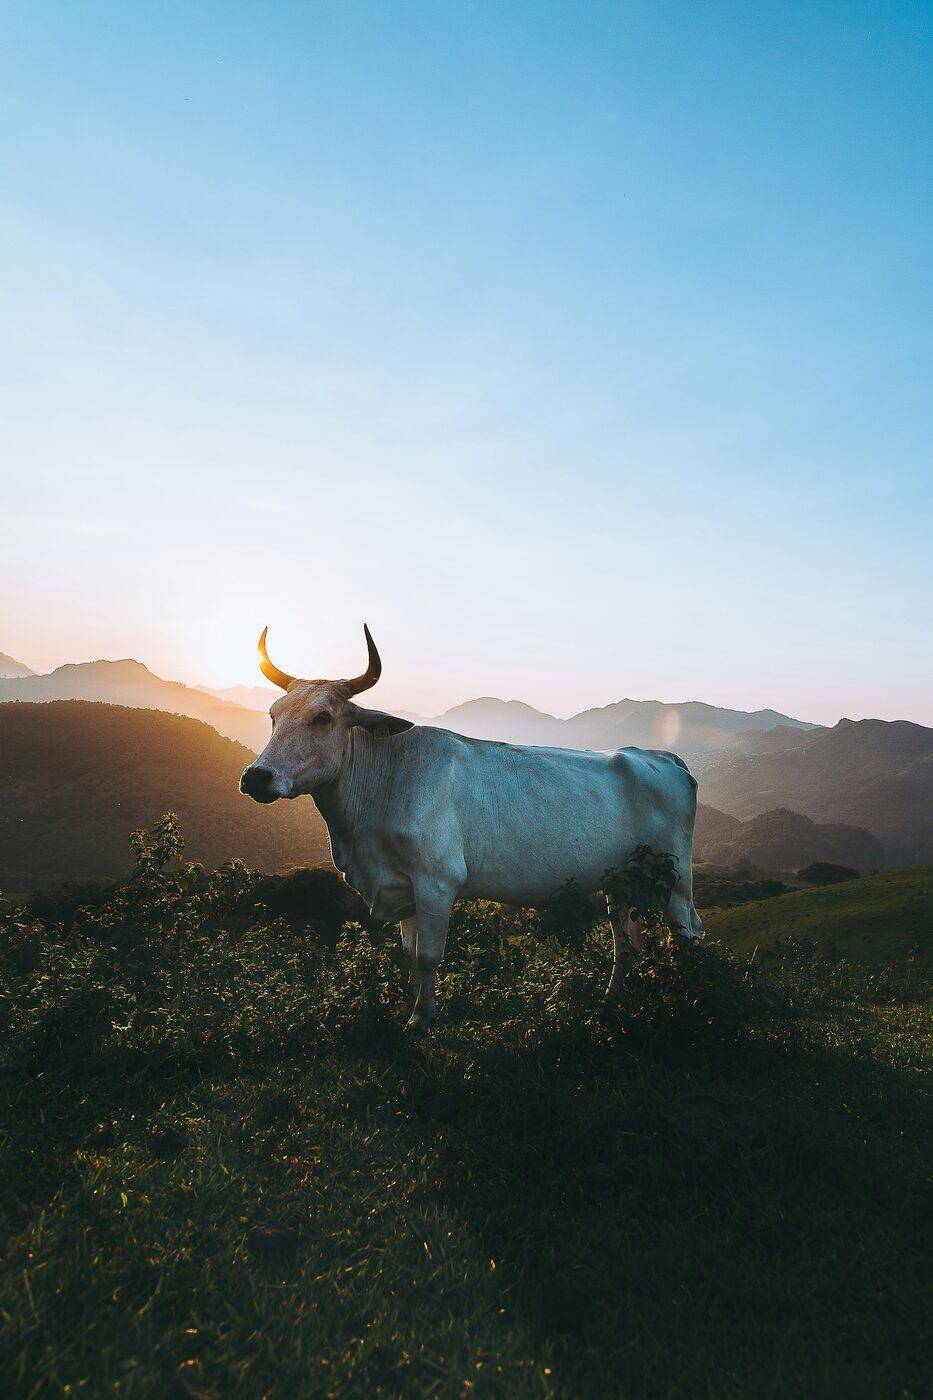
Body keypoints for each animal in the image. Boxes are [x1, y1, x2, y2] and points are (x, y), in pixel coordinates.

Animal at [240, 626, 702, 1030]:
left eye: (322, 717)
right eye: (273, 715)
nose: (256, 777)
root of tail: (660, 756)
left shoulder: (437, 881)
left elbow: (428, 956)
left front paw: (421, 1022)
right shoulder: (403, 888)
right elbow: (409, 958)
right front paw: (414, 1011)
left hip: (675, 878)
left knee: (687, 934)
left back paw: (691, 1000)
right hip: (619, 881)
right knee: (625, 943)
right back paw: (613, 999)